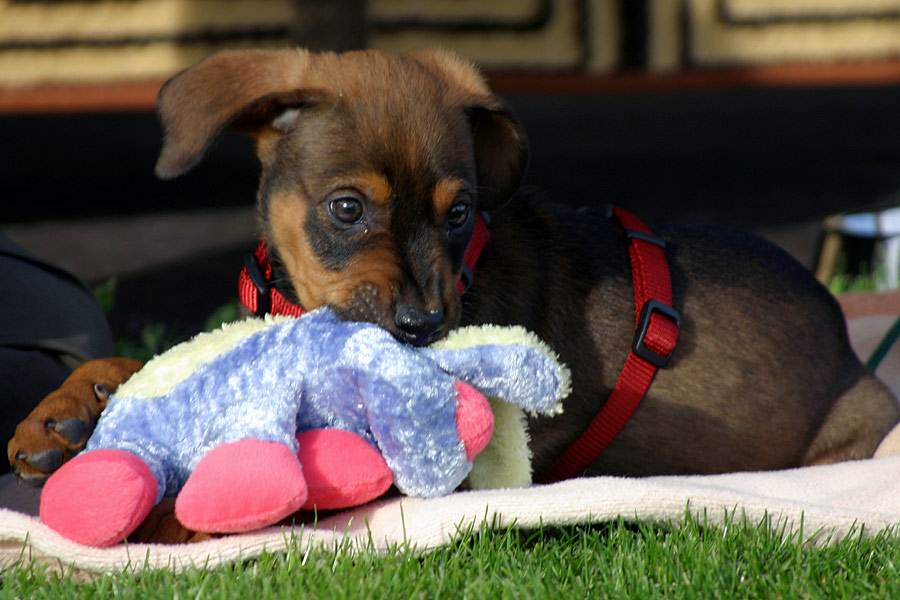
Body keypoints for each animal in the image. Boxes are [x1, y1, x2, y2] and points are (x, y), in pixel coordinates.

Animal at [8, 48, 900, 488]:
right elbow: (154, 360)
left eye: (460, 212)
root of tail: (851, 344)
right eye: (347, 209)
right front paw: (65, 409)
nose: (421, 327)